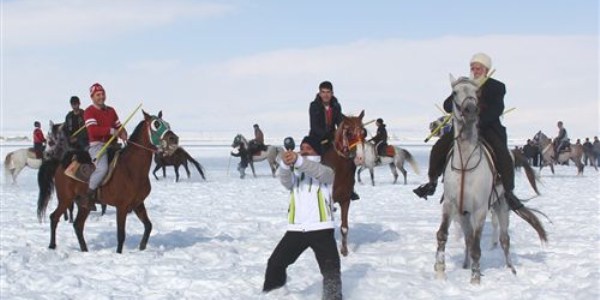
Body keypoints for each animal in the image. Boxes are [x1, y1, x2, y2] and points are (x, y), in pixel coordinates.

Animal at [36, 110, 178, 253]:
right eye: (156, 124)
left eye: (167, 124)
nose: (174, 139)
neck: (131, 168)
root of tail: (60, 162)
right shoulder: (122, 207)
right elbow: (121, 234)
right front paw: (119, 253)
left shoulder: (138, 204)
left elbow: (148, 226)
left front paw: (142, 247)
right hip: (65, 199)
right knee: (54, 217)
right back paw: (52, 245)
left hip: (83, 204)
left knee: (78, 225)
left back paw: (84, 249)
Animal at [322, 110, 364, 255]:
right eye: (349, 132)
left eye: (364, 132)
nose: (360, 158)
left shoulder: (345, 200)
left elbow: (344, 227)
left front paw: (344, 251)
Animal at [434, 75, 548, 284]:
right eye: (454, 92)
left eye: (476, 93)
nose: (470, 110)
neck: (465, 162)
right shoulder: (451, 205)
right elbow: (443, 235)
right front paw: (440, 272)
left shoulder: (480, 209)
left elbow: (477, 246)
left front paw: (475, 279)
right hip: (464, 213)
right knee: (469, 239)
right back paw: (465, 264)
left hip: (501, 206)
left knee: (504, 239)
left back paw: (511, 269)